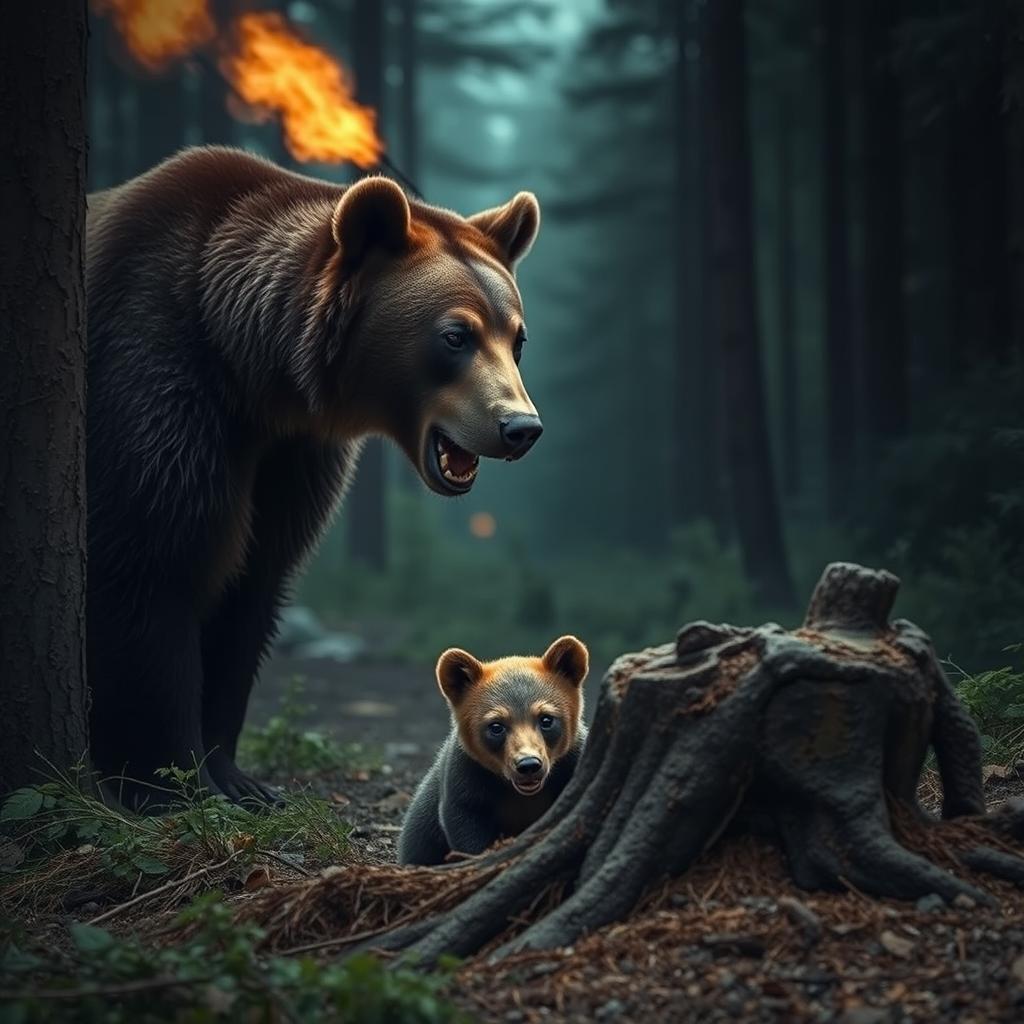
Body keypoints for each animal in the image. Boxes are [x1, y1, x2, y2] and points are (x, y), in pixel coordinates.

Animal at [85, 146, 544, 809]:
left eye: (518, 338)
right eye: (456, 335)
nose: (520, 427)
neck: (251, 367)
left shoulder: (291, 454)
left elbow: (253, 582)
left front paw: (239, 778)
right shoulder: (155, 376)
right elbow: (151, 560)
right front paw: (172, 781)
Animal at [398, 636, 589, 866]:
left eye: (546, 719)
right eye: (496, 726)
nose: (528, 764)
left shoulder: (574, 759)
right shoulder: (466, 774)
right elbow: (465, 823)